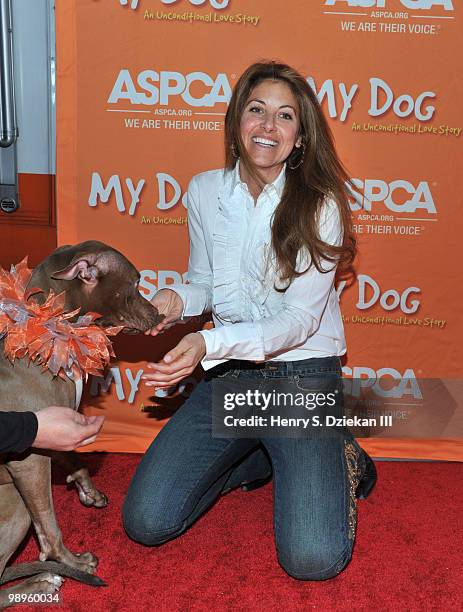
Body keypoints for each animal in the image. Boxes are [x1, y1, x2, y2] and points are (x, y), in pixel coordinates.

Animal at [0, 243, 163, 608]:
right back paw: (40, 583)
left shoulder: (59, 430)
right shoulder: (29, 460)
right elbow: (49, 529)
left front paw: (89, 491)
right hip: (14, 503)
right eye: (135, 283)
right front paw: (71, 562)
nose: (160, 315)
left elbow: (76, 461)